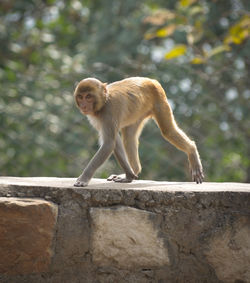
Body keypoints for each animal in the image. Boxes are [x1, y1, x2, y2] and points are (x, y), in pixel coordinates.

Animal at [73, 77, 204, 187]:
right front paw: (129, 175)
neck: (104, 102)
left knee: (168, 131)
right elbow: (115, 142)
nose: (83, 105)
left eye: (88, 96)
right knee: (129, 137)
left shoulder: (109, 113)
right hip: (138, 112)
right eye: (80, 97)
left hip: (159, 99)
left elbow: (108, 144)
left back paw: (192, 150)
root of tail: (151, 80)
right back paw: (134, 169)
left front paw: (83, 178)